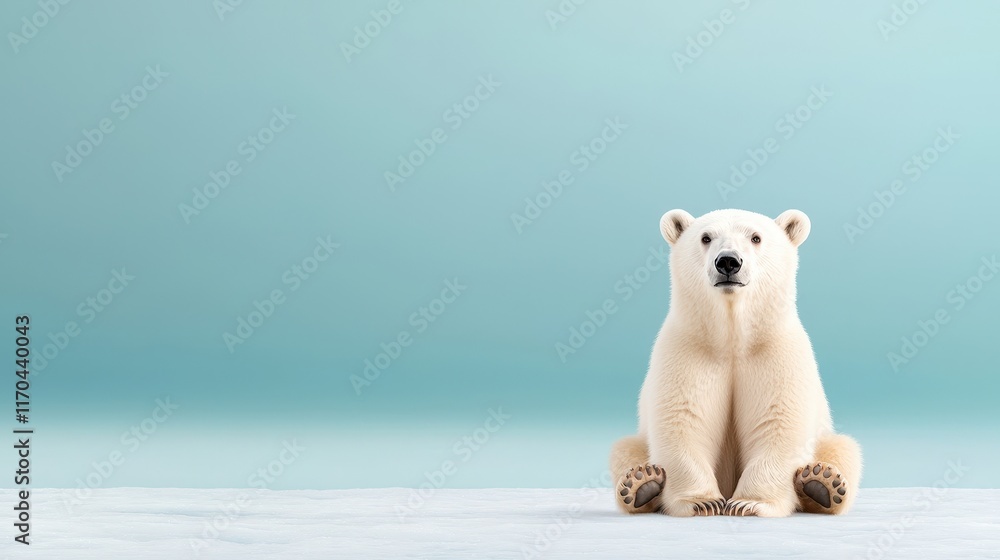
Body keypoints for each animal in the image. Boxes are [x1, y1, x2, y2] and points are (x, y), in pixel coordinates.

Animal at [609, 208, 861, 517]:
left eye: (756, 237)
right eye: (706, 237)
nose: (728, 261)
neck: (732, 340)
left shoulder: (774, 351)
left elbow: (778, 422)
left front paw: (750, 503)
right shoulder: (690, 349)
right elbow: (682, 421)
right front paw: (703, 501)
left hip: (827, 438)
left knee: (845, 449)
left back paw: (822, 483)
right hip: (636, 441)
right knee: (623, 449)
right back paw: (641, 483)